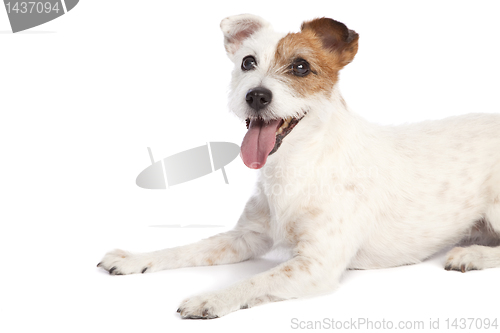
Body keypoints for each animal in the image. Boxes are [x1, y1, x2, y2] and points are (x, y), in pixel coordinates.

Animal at [96, 14, 500, 318]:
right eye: (247, 62)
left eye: (301, 67)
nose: (256, 95)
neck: (296, 165)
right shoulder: (247, 236)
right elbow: (189, 248)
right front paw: (135, 259)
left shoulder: (315, 264)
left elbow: (254, 280)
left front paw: (210, 297)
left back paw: (472, 254)